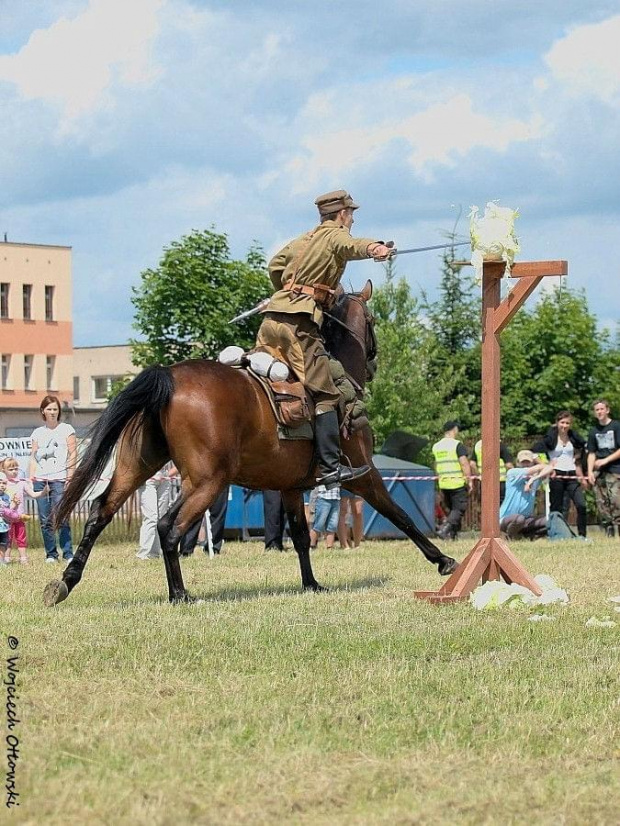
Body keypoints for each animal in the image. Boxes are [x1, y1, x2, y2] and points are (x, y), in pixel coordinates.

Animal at [44, 282, 456, 604]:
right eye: (371, 321)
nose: (372, 363)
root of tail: (170, 377)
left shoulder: (290, 487)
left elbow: (301, 536)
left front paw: (311, 584)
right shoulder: (363, 475)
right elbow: (400, 515)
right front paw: (443, 561)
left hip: (138, 468)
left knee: (100, 512)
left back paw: (65, 582)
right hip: (207, 481)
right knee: (168, 527)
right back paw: (179, 594)